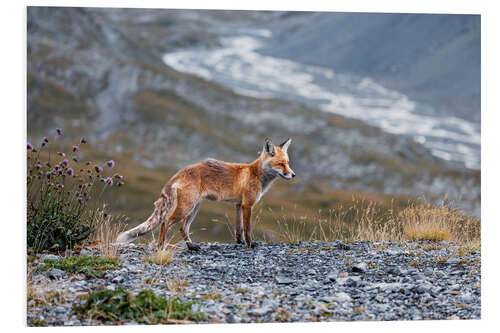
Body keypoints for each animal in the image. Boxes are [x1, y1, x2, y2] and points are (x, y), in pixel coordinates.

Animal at [115, 137, 294, 249]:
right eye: (280, 164)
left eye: (288, 163)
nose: (293, 175)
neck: (256, 174)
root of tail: (181, 171)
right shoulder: (247, 205)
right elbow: (248, 229)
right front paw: (250, 245)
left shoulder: (238, 205)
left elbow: (239, 230)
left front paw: (240, 243)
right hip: (187, 208)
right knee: (165, 222)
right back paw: (161, 247)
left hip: (194, 208)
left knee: (182, 229)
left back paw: (192, 247)